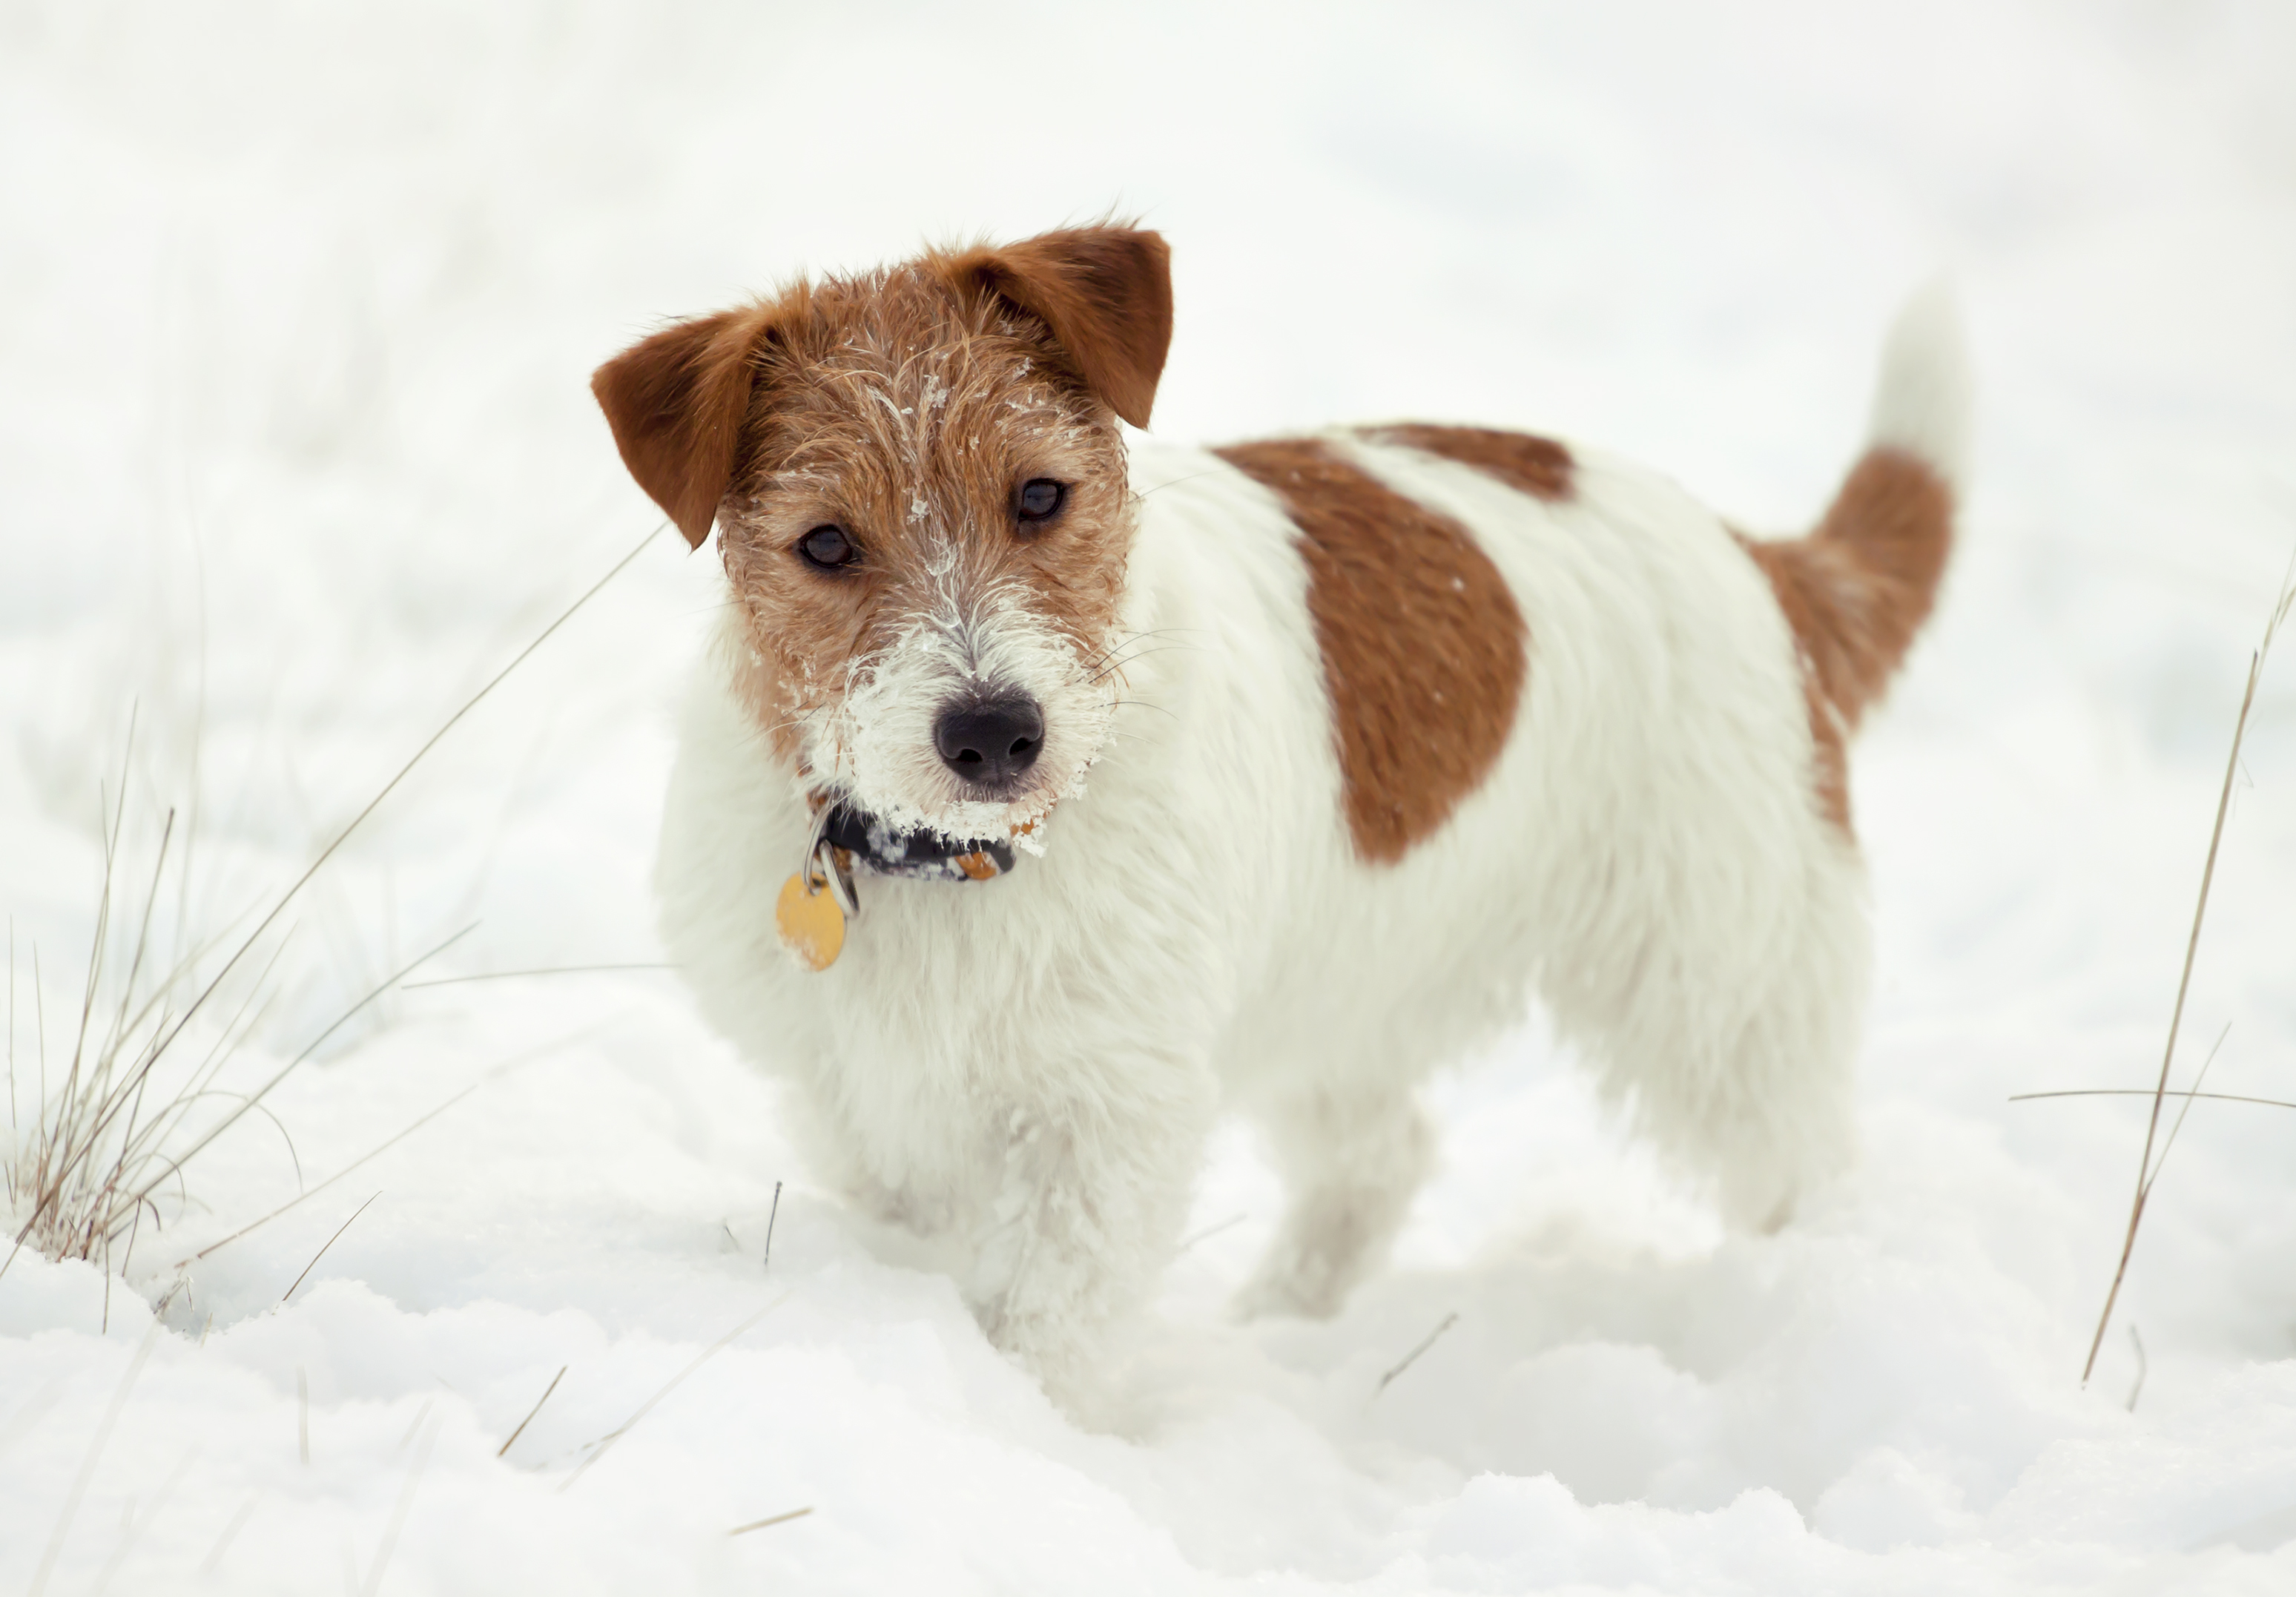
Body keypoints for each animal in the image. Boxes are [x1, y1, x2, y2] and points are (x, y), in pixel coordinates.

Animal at [596, 221, 1974, 1397]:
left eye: (1039, 495)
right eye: (826, 544)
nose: (993, 733)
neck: (965, 856)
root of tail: (1760, 560)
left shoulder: (1107, 1121)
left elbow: (1048, 1323)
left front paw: (1037, 1439)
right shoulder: (863, 1107)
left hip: (1724, 992)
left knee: (1802, 1160)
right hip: (1347, 988)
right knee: (1382, 1158)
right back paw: (1279, 1330)